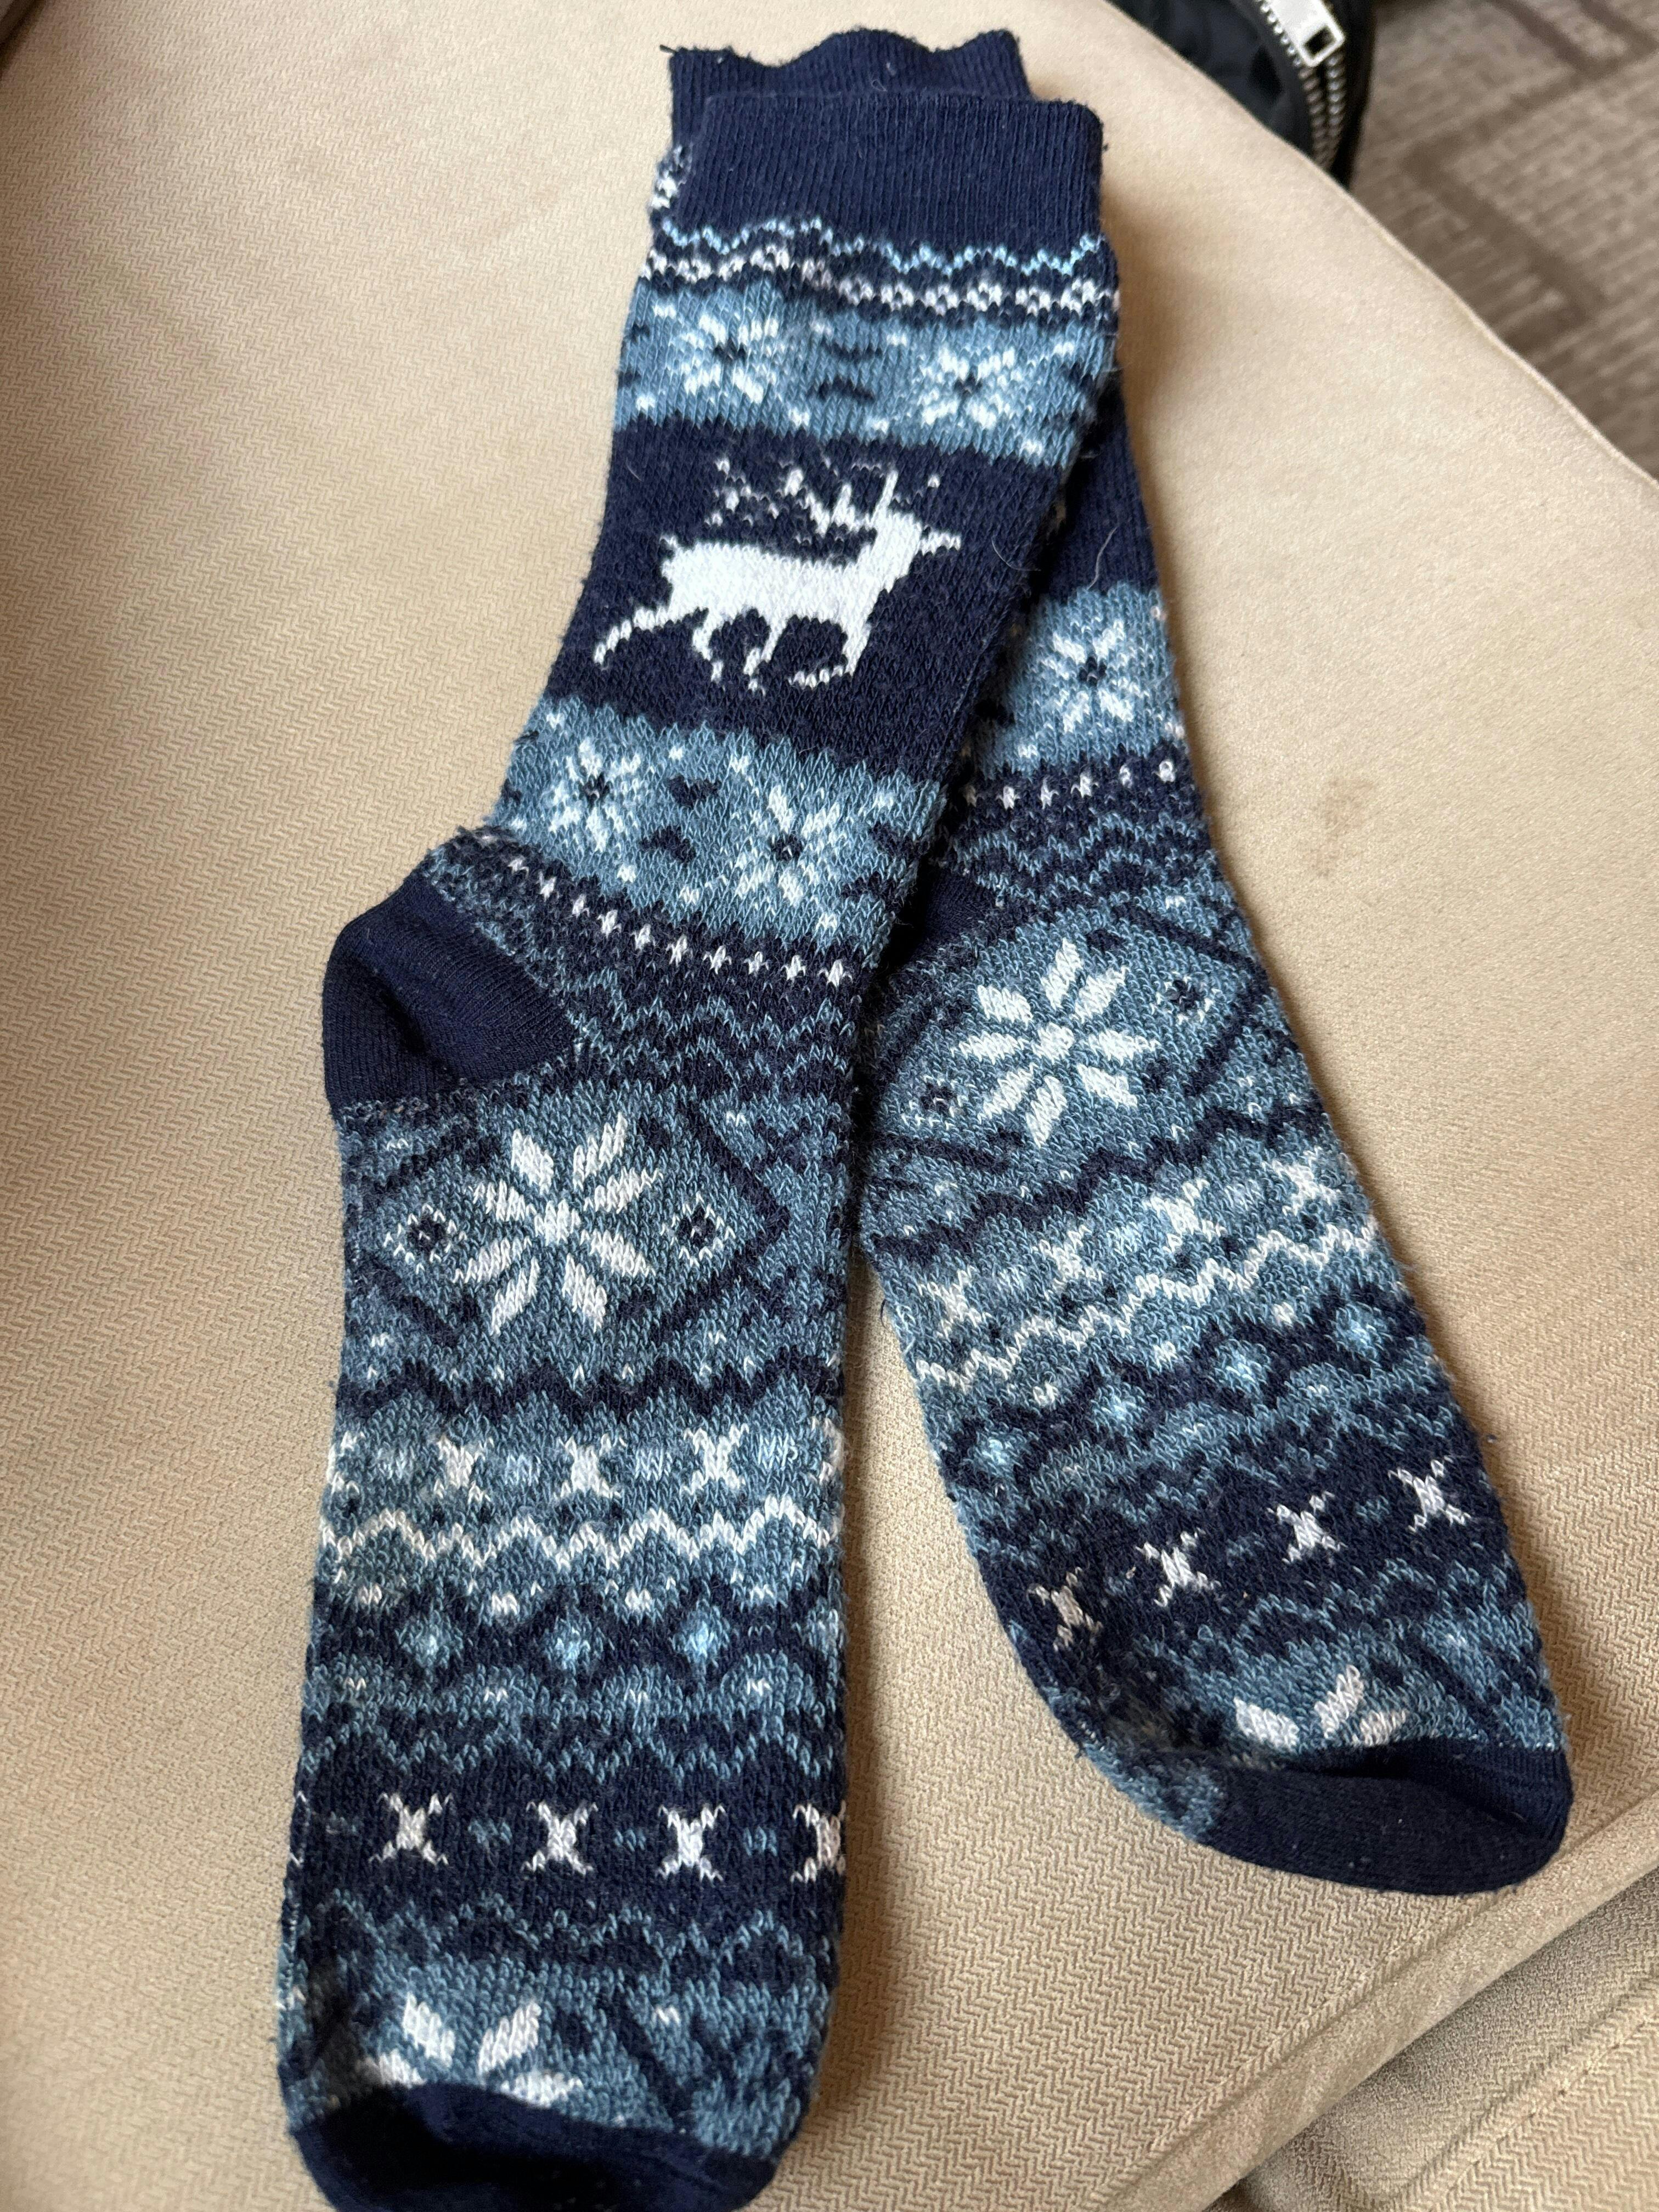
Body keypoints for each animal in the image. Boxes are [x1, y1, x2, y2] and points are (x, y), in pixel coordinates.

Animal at [593, 467, 961, 690]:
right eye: (888, 538)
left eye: (914, 541)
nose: (900, 570)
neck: (858, 578)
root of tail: (679, 555)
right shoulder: (819, 616)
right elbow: (850, 645)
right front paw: (801, 674)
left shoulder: (793, 616)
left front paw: (761, 669)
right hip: (688, 600)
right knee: (645, 619)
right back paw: (603, 652)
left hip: (716, 607)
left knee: (698, 636)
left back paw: (718, 669)